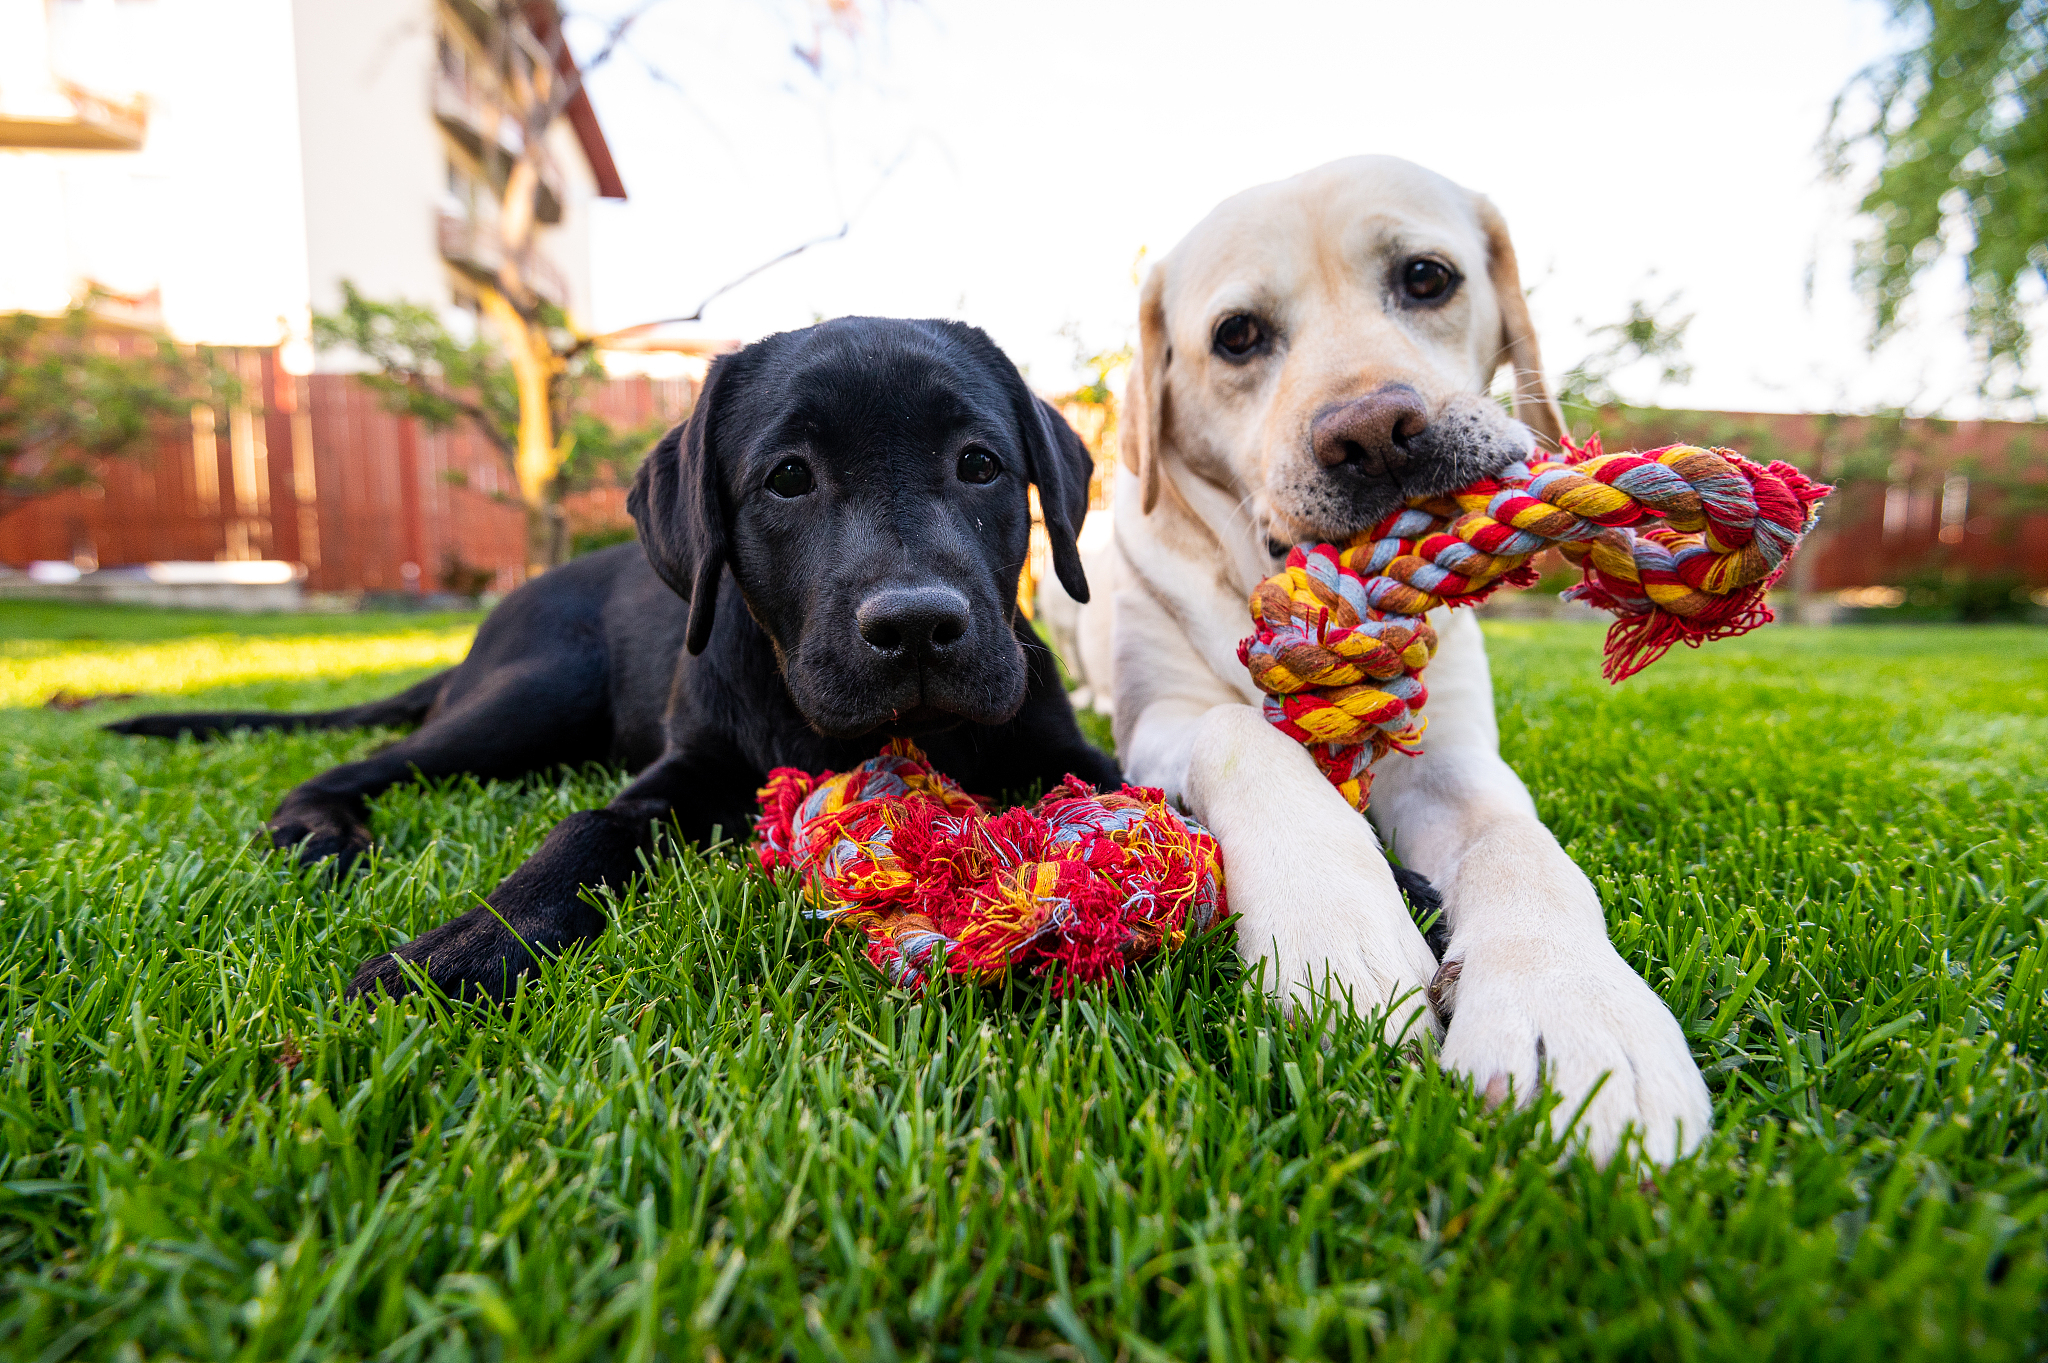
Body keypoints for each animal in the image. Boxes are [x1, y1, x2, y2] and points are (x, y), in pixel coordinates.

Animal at [112, 319, 1122, 998]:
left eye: (980, 464)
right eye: (788, 477)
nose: (915, 624)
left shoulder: (1067, 746)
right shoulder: (686, 767)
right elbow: (587, 826)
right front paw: (465, 947)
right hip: (536, 693)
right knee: (362, 761)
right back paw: (319, 831)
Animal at [1073, 156, 1712, 1154]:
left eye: (1425, 277)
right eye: (1237, 336)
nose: (1373, 434)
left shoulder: (1450, 754)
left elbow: (1519, 843)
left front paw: (1577, 1013)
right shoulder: (1159, 721)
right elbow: (1240, 732)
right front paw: (1336, 937)